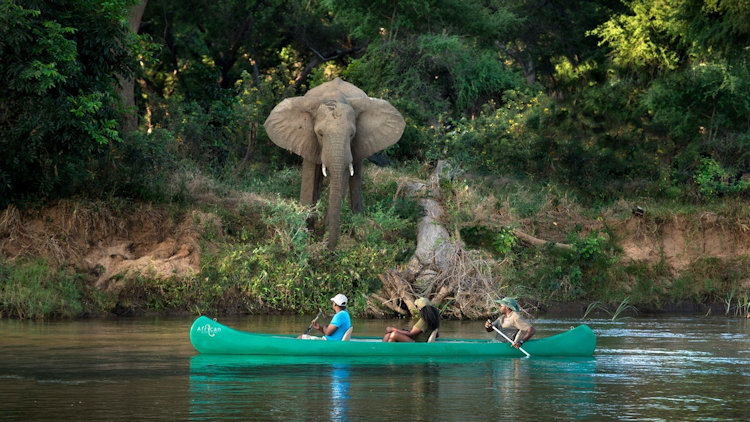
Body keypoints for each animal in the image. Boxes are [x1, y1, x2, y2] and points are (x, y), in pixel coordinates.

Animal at [264, 77, 406, 249]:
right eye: (320, 134)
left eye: (352, 134)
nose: (328, 248)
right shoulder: (307, 139)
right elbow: (310, 179)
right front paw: (306, 236)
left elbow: (344, 177)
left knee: (354, 179)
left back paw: (357, 230)